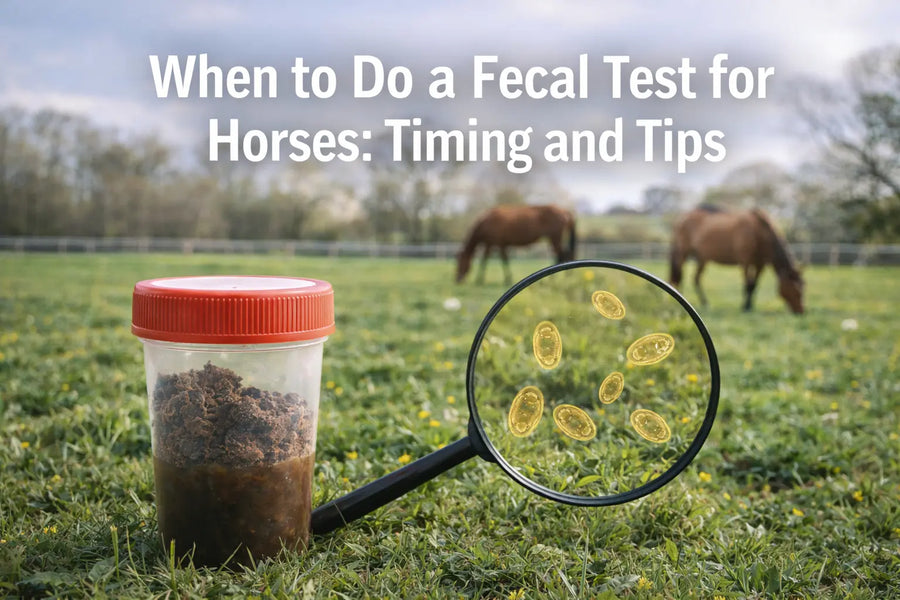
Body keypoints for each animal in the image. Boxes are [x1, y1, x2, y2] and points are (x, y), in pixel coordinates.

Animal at [669, 205, 805, 314]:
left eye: (803, 287)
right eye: (795, 290)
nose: (801, 311)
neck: (759, 231)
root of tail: (682, 217)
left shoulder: (760, 264)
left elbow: (754, 285)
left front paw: (750, 306)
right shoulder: (746, 262)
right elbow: (747, 284)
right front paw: (745, 307)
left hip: (702, 258)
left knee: (696, 279)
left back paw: (705, 303)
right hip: (683, 253)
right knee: (680, 275)